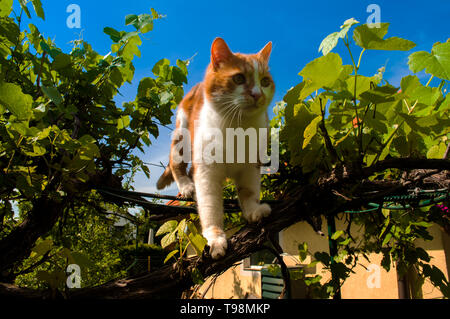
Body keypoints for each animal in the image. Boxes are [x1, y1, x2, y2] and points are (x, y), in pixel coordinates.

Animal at [156, 37, 274, 258]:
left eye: (265, 82)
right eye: (238, 78)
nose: (257, 94)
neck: (237, 126)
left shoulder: (250, 166)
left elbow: (249, 191)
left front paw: (252, 210)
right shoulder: (206, 172)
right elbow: (210, 206)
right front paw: (215, 238)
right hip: (183, 133)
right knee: (176, 163)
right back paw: (186, 186)